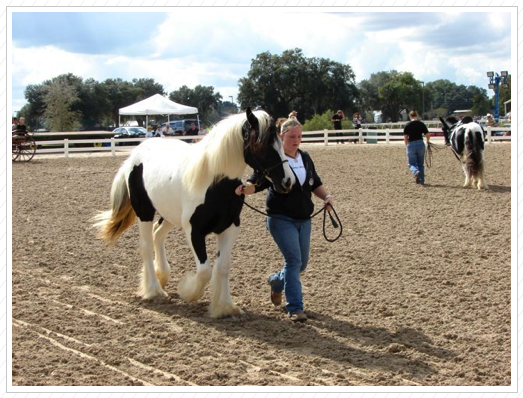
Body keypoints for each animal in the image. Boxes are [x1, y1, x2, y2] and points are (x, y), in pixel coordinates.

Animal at [95, 109, 294, 318]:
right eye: (261, 144)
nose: (288, 181)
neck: (214, 181)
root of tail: (134, 155)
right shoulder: (194, 231)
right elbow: (205, 271)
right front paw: (187, 291)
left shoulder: (230, 227)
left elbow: (223, 267)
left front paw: (224, 307)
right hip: (144, 211)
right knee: (146, 246)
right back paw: (154, 290)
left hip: (169, 215)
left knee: (158, 234)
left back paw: (162, 275)